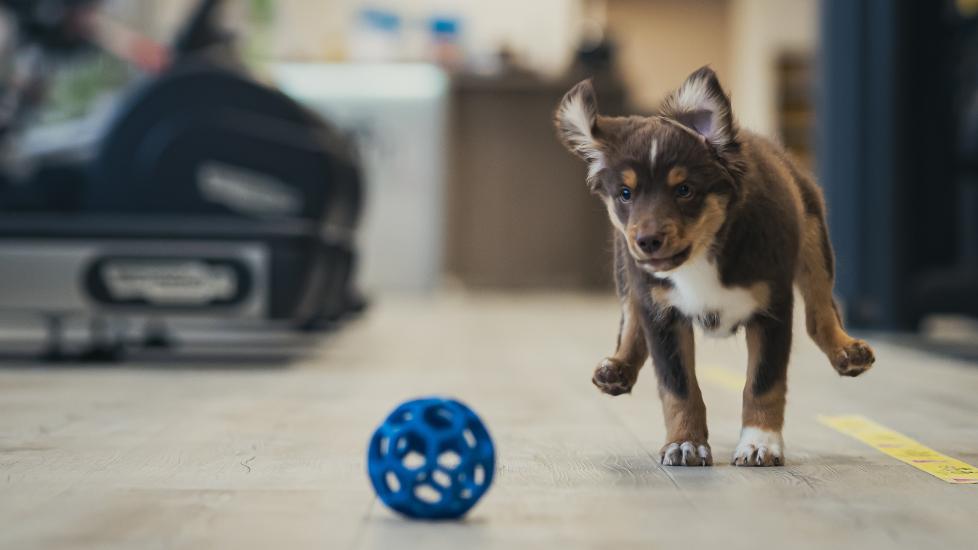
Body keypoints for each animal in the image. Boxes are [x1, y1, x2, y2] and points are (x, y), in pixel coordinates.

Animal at [552, 67, 872, 468]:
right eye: (625, 194)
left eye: (685, 190)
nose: (647, 241)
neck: (704, 253)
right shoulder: (662, 313)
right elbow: (677, 385)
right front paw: (684, 442)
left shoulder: (772, 309)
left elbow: (763, 383)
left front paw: (760, 442)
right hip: (626, 268)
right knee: (631, 315)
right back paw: (618, 367)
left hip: (814, 234)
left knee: (820, 309)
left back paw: (847, 351)